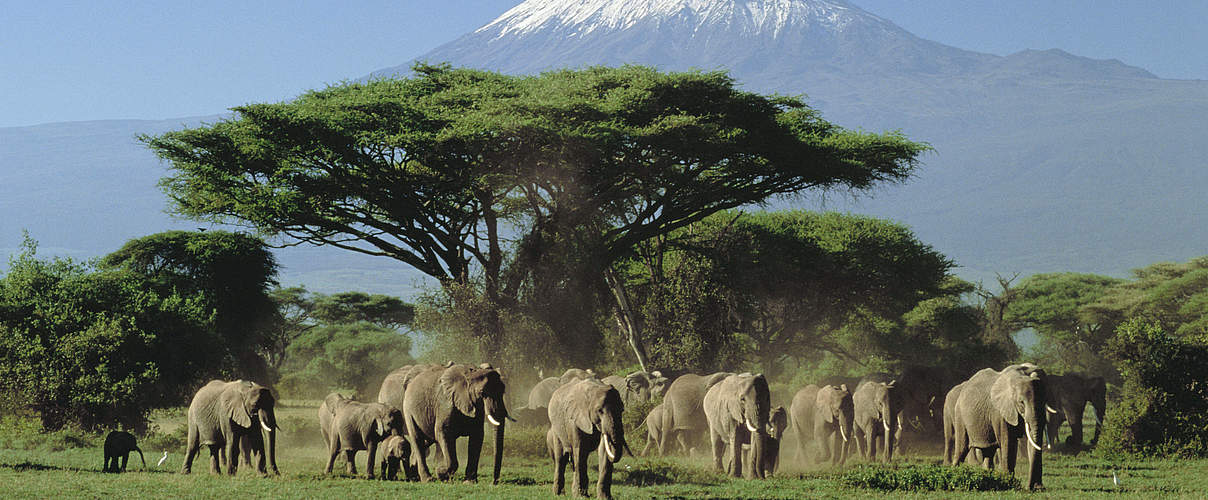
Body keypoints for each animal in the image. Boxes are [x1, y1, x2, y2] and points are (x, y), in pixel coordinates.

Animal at [951, 362, 1048, 490]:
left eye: (1044, 401)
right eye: (1021, 402)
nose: (1030, 487)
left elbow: (1030, 441)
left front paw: (1038, 488)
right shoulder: (1000, 412)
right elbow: (1009, 442)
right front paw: (1010, 484)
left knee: (988, 451)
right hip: (960, 416)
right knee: (961, 449)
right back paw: (952, 476)